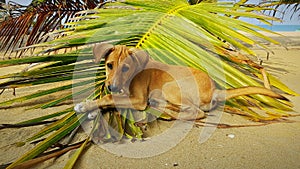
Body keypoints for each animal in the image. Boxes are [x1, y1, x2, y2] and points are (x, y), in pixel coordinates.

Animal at [74, 43, 288, 120]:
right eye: (109, 65)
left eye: (125, 68)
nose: (112, 85)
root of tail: (214, 90)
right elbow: (110, 98)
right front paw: (91, 108)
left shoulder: (138, 100)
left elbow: (108, 98)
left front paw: (87, 107)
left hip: (170, 87)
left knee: (197, 113)